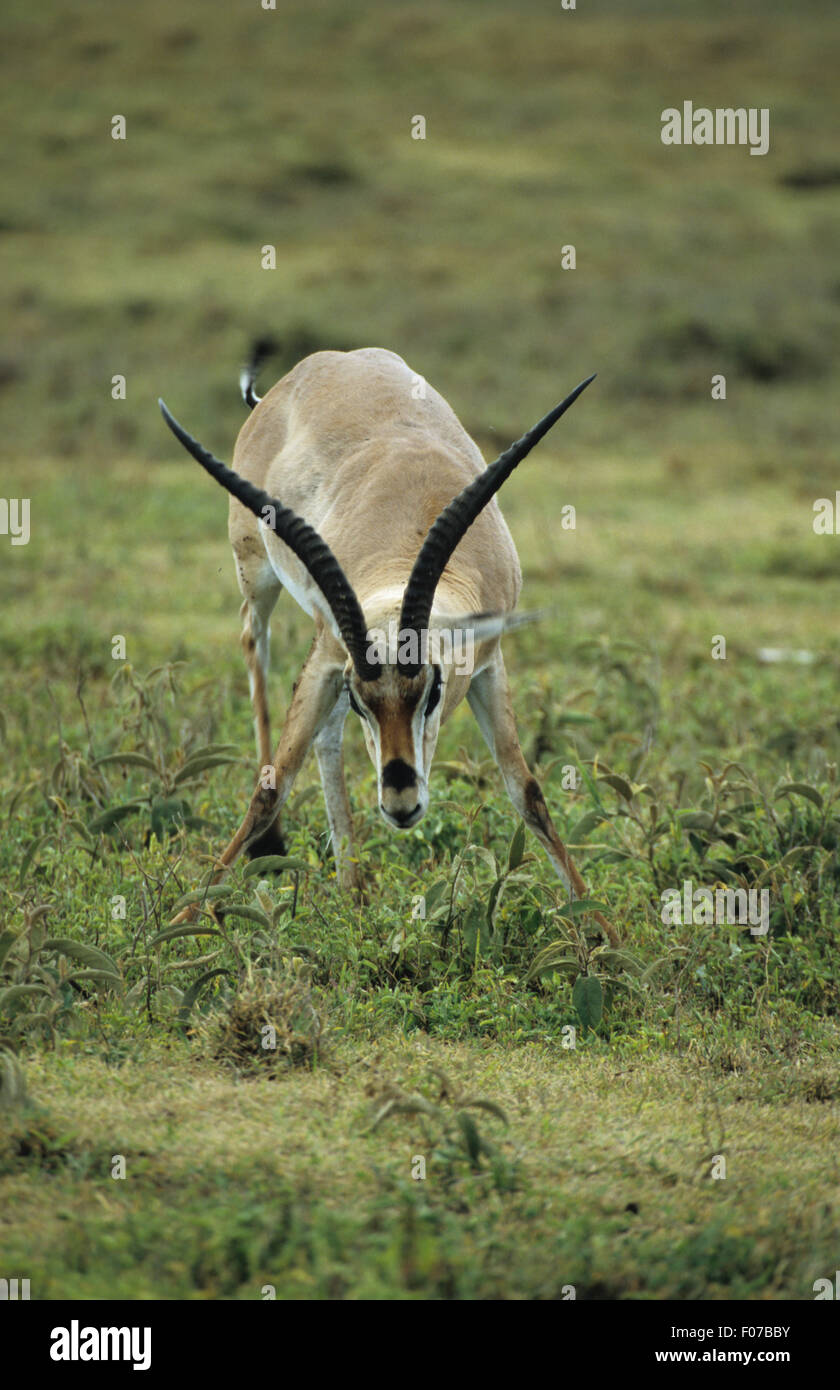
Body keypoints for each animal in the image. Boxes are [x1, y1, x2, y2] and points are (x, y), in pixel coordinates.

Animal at [159, 347, 618, 945]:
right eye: (365, 703)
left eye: (433, 691)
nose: (401, 803)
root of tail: (300, 374)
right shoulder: (333, 657)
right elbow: (271, 785)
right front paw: (181, 920)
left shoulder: (488, 663)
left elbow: (529, 791)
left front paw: (605, 931)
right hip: (256, 576)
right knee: (254, 646)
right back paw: (279, 852)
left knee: (324, 738)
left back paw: (352, 890)